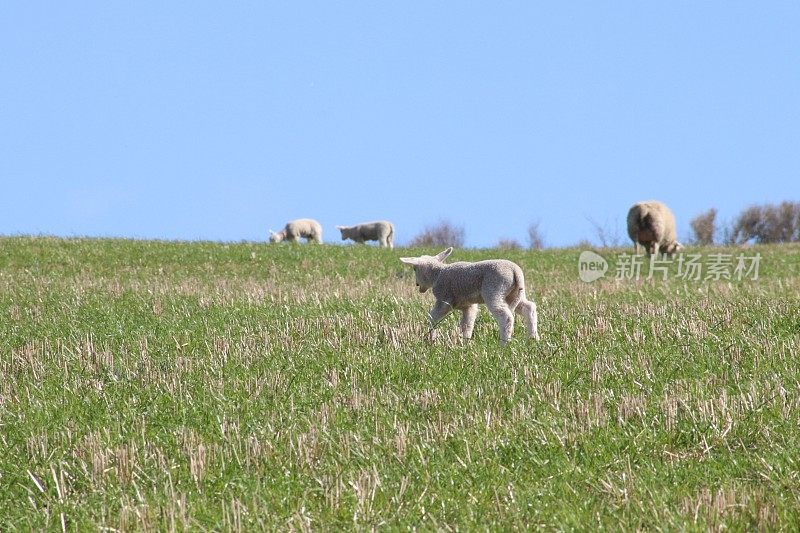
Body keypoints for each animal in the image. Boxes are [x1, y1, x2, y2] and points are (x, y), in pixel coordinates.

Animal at [398, 246, 536, 344]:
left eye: (414, 269)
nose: (417, 285)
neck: (437, 274)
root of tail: (515, 271)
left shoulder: (444, 299)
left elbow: (433, 317)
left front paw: (431, 338)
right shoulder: (468, 305)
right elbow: (467, 324)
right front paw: (464, 343)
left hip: (494, 289)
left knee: (506, 317)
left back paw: (503, 344)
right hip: (515, 293)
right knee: (529, 307)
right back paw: (533, 339)